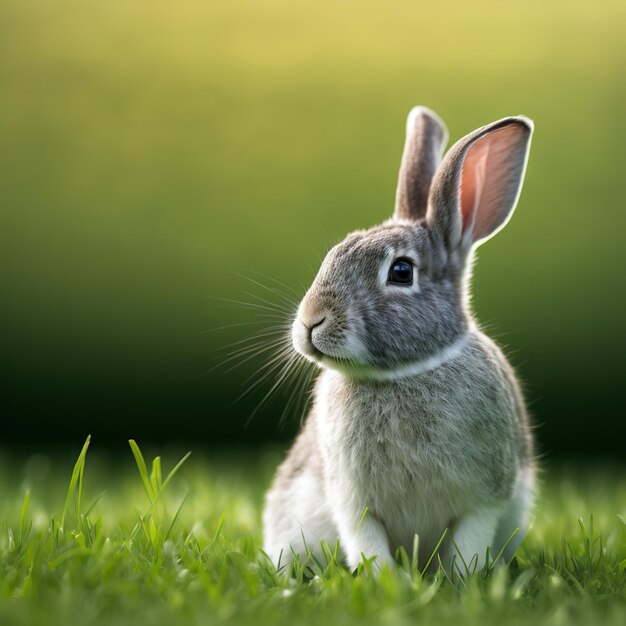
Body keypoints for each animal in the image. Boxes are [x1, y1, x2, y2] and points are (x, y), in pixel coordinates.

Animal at [260, 105, 532, 572]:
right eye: (333, 255)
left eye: (401, 272)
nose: (312, 321)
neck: (401, 374)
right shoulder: (354, 505)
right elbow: (367, 544)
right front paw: (383, 580)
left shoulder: (484, 501)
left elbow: (469, 544)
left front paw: (464, 580)